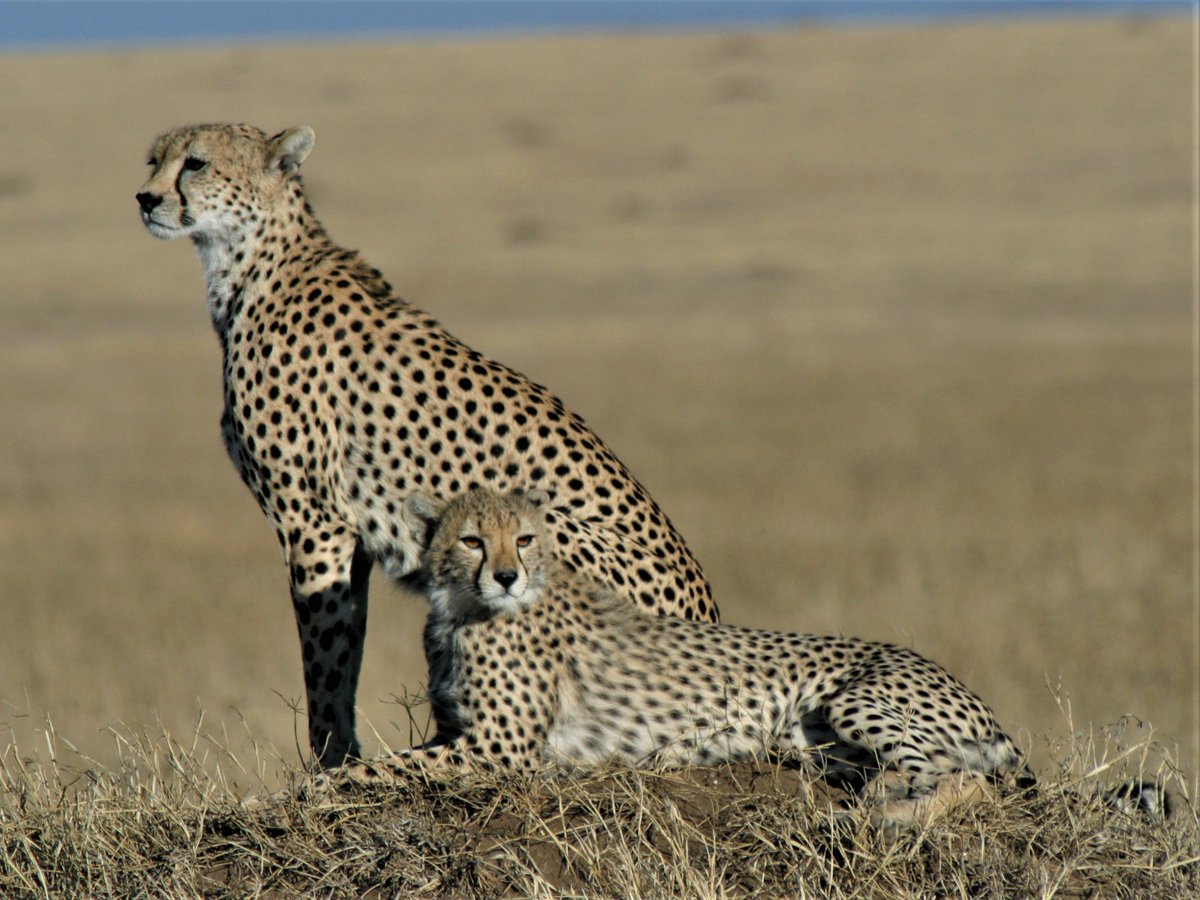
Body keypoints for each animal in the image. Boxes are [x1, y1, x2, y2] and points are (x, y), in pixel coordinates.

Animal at [136, 123, 717, 768]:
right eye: (153, 160)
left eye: (195, 164)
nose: (146, 199)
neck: (249, 264)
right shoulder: (345, 538)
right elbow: (346, 652)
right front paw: (345, 758)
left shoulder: (312, 521)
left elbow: (325, 664)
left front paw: (329, 765)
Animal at [339, 486, 1038, 829]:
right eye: (473, 541)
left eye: (526, 538)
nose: (507, 576)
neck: (463, 609)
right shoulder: (464, 734)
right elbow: (384, 764)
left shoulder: (500, 750)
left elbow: (370, 771)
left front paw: (323, 789)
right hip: (822, 744)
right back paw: (881, 792)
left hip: (854, 698)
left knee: (966, 778)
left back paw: (891, 814)